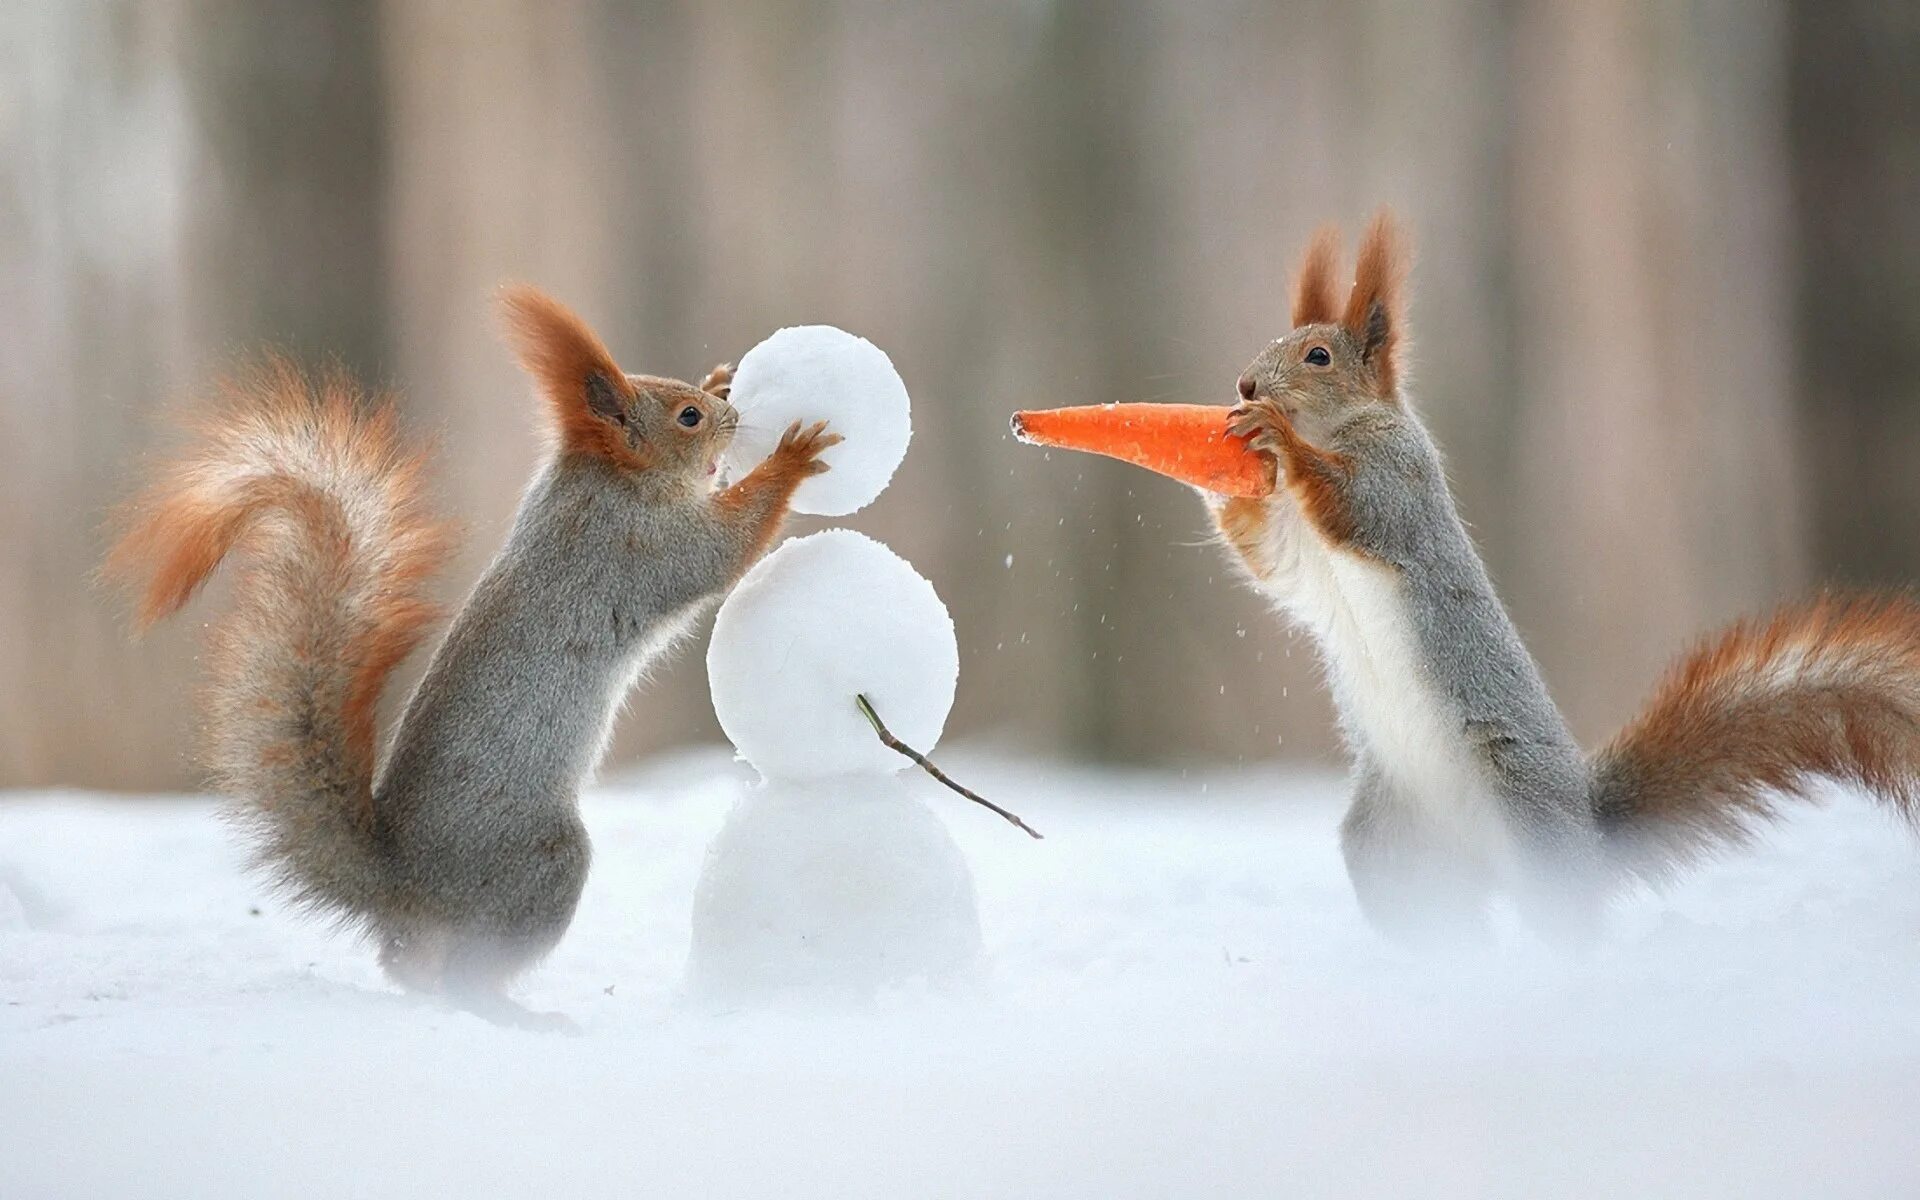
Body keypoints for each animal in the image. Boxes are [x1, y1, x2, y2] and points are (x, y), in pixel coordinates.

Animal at [105, 288, 840, 1021]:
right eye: (689, 419)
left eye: (691, 395)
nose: (732, 412)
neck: (604, 475)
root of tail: (402, 884)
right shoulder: (638, 545)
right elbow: (722, 549)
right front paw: (792, 457)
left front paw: (722, 377)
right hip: (539, 863)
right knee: (463, 973)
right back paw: (518, 1014)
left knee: (409, 969)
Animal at [1213, 213, 1920, 944]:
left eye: (1318, 356)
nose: (1245, 387)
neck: (1335, 430)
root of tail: (1587, 834)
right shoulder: (1297, 552)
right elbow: (1265, 555)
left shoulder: (1398, 478)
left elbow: (1355, 506)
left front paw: (1275, 437)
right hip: (1389, 845)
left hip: (1524, 814)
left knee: (1563, 922)